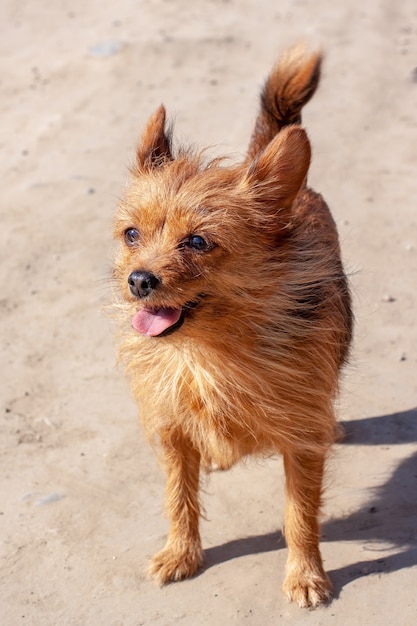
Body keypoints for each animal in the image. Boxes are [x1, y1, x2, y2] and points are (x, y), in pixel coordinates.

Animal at [113, 46, 352, 608]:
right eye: (131, 234)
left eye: (198, 242)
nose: (139, 280)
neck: (207, 352)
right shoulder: (171, 429)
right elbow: (178, 496)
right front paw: (181, 553)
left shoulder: (301, 440)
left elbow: (300, 513)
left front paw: (306, 574)